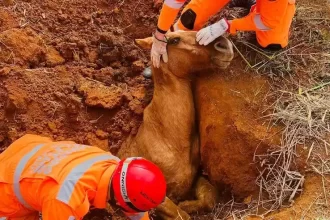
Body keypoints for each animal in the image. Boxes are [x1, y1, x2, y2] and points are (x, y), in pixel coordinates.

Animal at [117, 31, 233, 220]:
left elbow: (209, 197)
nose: (225, 45)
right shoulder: (156, 199)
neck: (169, 139)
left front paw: (187, 204)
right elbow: (181, 215)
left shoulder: (195, 177)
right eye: (174, 40)